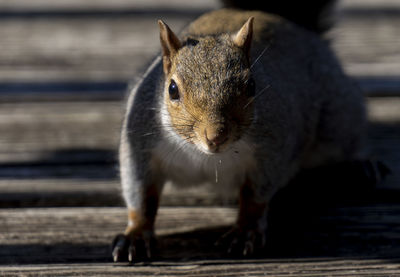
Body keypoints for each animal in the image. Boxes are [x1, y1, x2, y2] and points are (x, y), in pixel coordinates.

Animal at [110, 0, 368, 262]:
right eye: (172, 89)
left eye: (252, 86)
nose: (216, 136)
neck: (205, 156)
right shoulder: (139, 144)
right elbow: (141, 194)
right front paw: (136, 234)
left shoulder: (273, 148)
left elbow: (255, 195)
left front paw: (246, 231)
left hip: (336, 121)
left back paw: (362, 167)